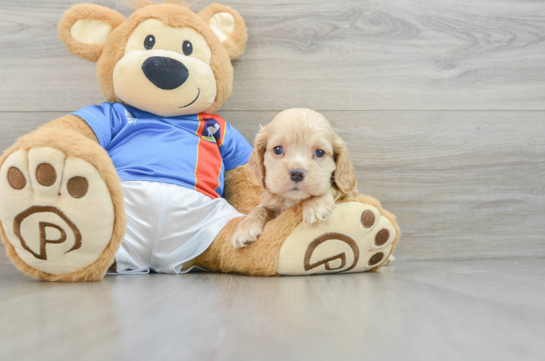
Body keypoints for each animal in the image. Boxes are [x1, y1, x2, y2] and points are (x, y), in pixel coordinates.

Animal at [230, 107, 356, 248]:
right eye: (278, 149)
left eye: (319, 152)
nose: (297, 173)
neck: (292, 199)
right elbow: (259, 208)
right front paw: (245, 227)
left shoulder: (349, 194)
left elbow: (330, 188)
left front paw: (316, 204)